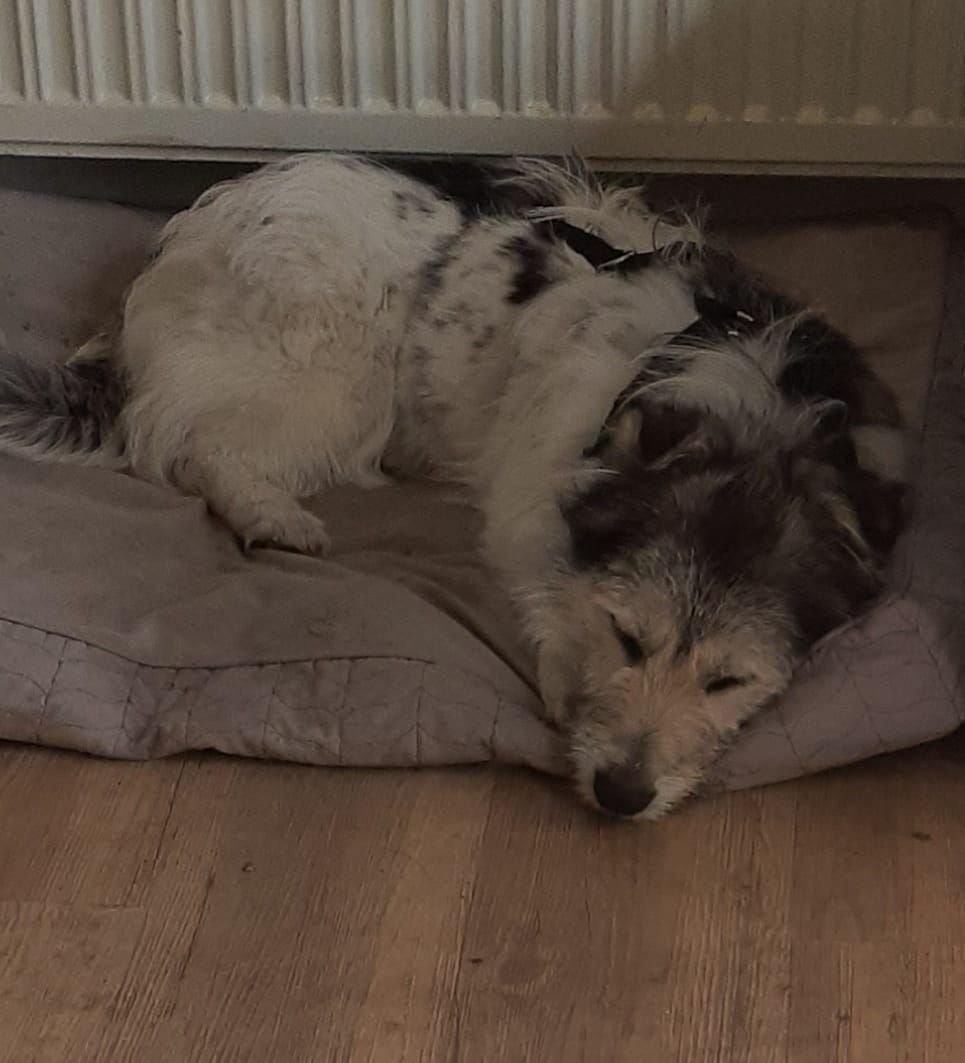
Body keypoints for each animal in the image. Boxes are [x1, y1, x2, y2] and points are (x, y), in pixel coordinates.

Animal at [0, 155, 907, 819]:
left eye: (729, 682)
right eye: (625, 638)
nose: (620, 795)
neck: (741, 409)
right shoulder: (532, 494)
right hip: (335, 376)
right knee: (185, 442)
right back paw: (271, 512)